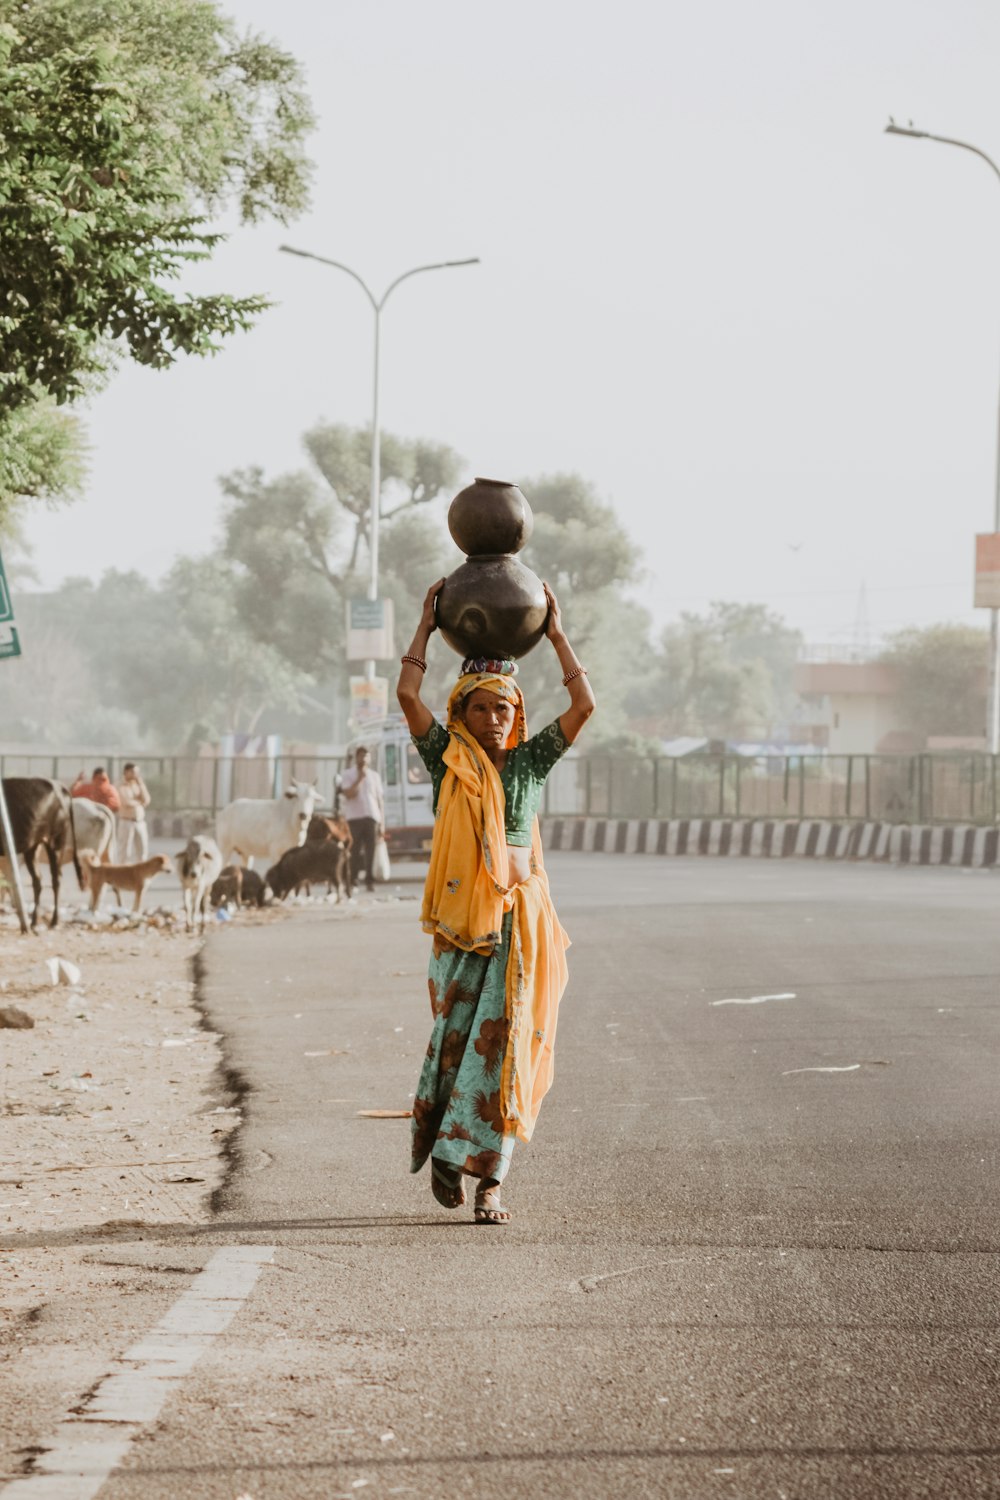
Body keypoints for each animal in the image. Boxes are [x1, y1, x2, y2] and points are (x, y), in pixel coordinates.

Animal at [0, 780, 81, 930]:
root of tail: (58, 786)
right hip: (33, 846)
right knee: (38, 880)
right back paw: (34, 921)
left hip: (56, 842)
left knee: (56, 880)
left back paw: (54, 921)